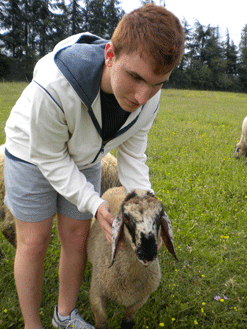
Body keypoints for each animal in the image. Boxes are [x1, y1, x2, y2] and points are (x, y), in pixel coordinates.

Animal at [87, 186, 178, 326]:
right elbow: (101, 322)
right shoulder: (96, 295)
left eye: (159, 217)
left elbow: (127, 322)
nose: (148, 255)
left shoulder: (140, 299)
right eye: (127, 218)